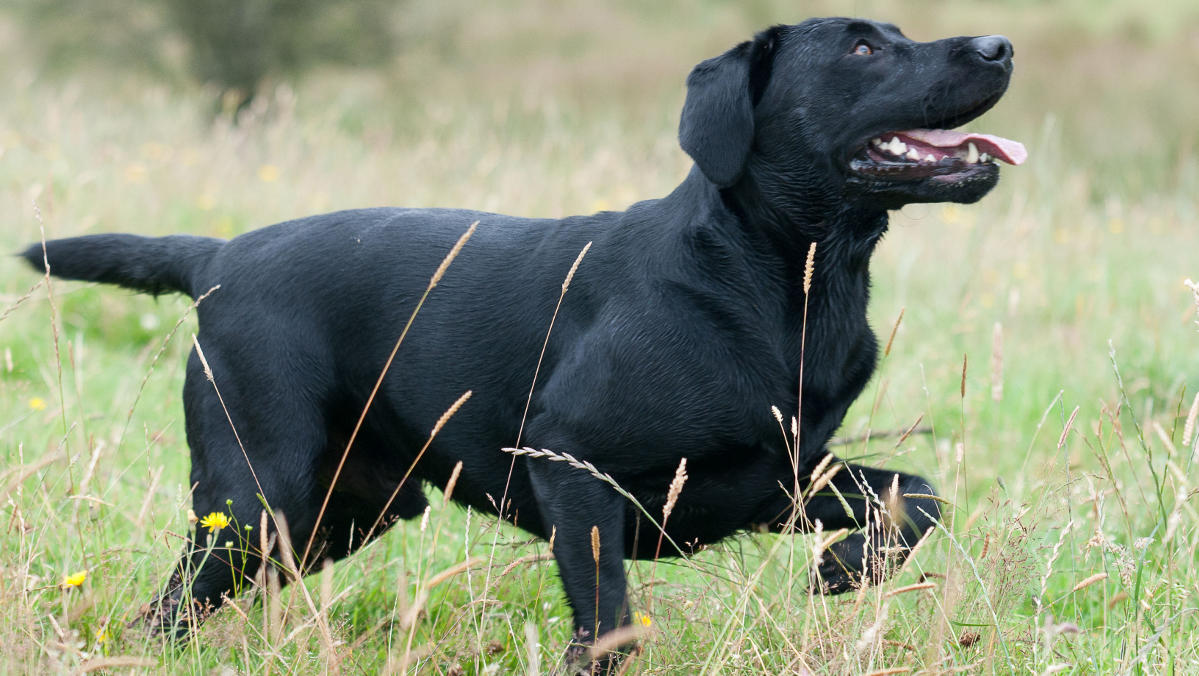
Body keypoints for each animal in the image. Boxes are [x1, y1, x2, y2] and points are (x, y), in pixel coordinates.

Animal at [21, 15, 1021, 671]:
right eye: (861, 47)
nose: (999, 44)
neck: (785, 285)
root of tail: (219, 256)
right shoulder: (575, 466)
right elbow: (607, 618)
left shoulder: (777, 474)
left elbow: (919, 496)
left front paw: (844, 572)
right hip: (258, 497)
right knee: (169, 606)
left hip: (341, 513)